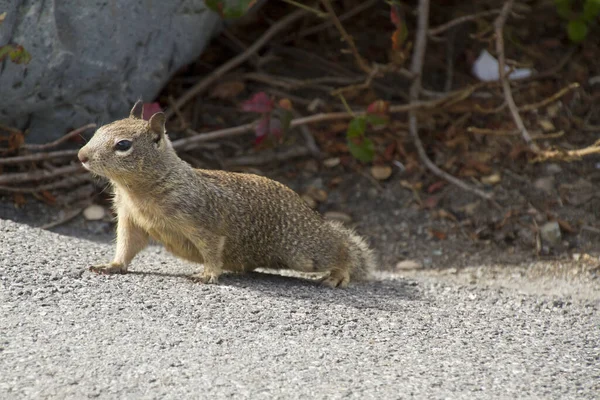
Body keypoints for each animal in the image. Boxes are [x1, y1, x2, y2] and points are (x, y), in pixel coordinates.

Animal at [75, 101, 376, 286]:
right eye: (99, 130)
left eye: (123, 145)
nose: (81, 156)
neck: (138, 191)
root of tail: (311, 215)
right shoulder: (131, 219)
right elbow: (127, 246)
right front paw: (112, 265)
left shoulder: (200, 220)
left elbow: (210, 248)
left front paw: (208, 274)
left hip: (304, 251)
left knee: (341, 248)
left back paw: (338, 274)